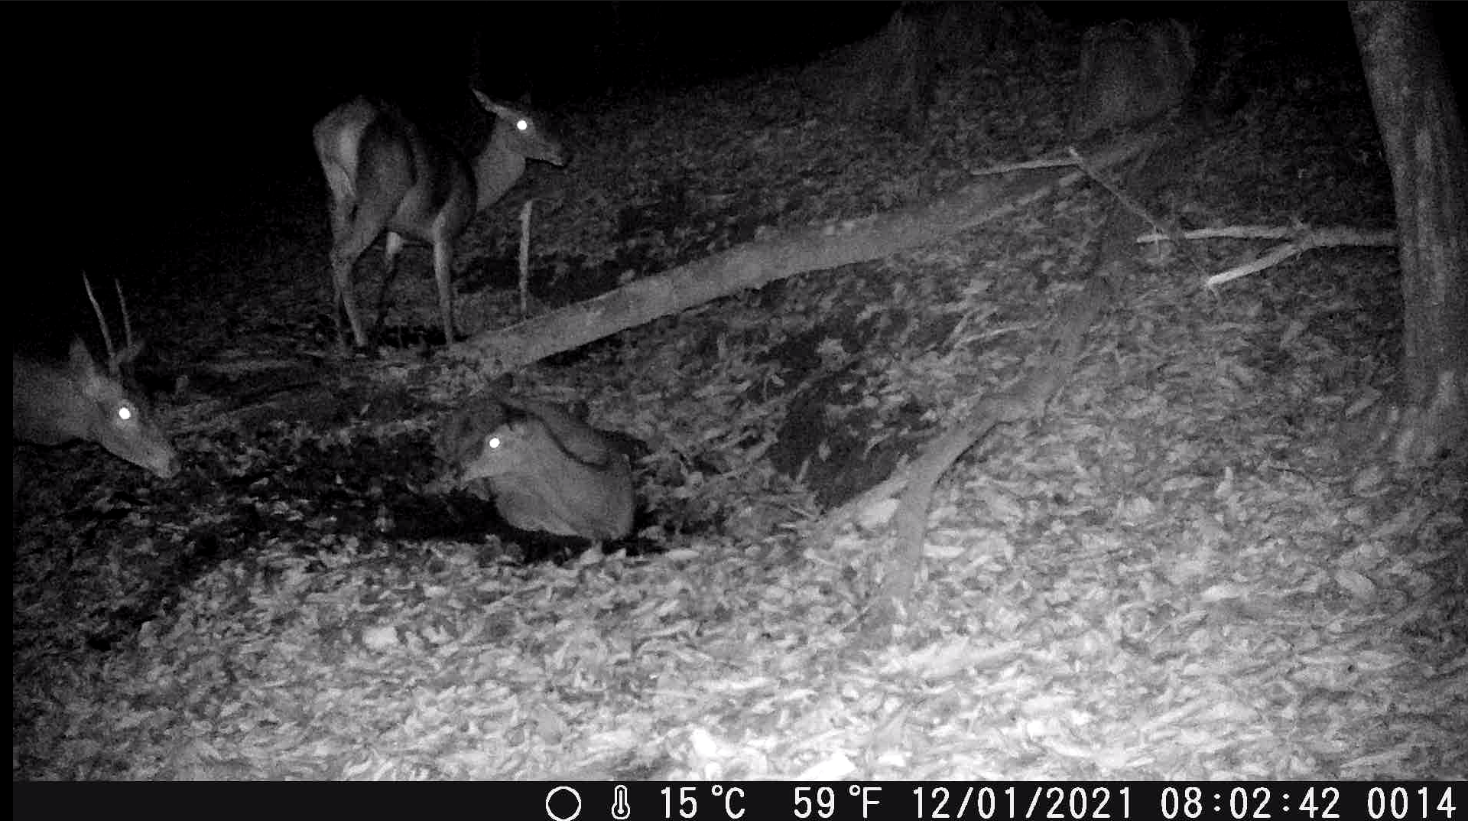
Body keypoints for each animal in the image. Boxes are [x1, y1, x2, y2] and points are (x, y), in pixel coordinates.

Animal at [312, 91, 563, 348]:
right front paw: (452, 341)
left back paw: (341, 334)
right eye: (522, 123)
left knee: (334, 248)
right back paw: (360, 339)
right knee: (342, 254)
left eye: (543, 116)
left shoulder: (397, 231)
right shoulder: (446, 230)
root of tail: (333, 129)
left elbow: (387, 279)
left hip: (337, 195)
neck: (478, 189)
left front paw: (379, 332)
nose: (563, 152)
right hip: (379, 197)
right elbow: (444, 293)